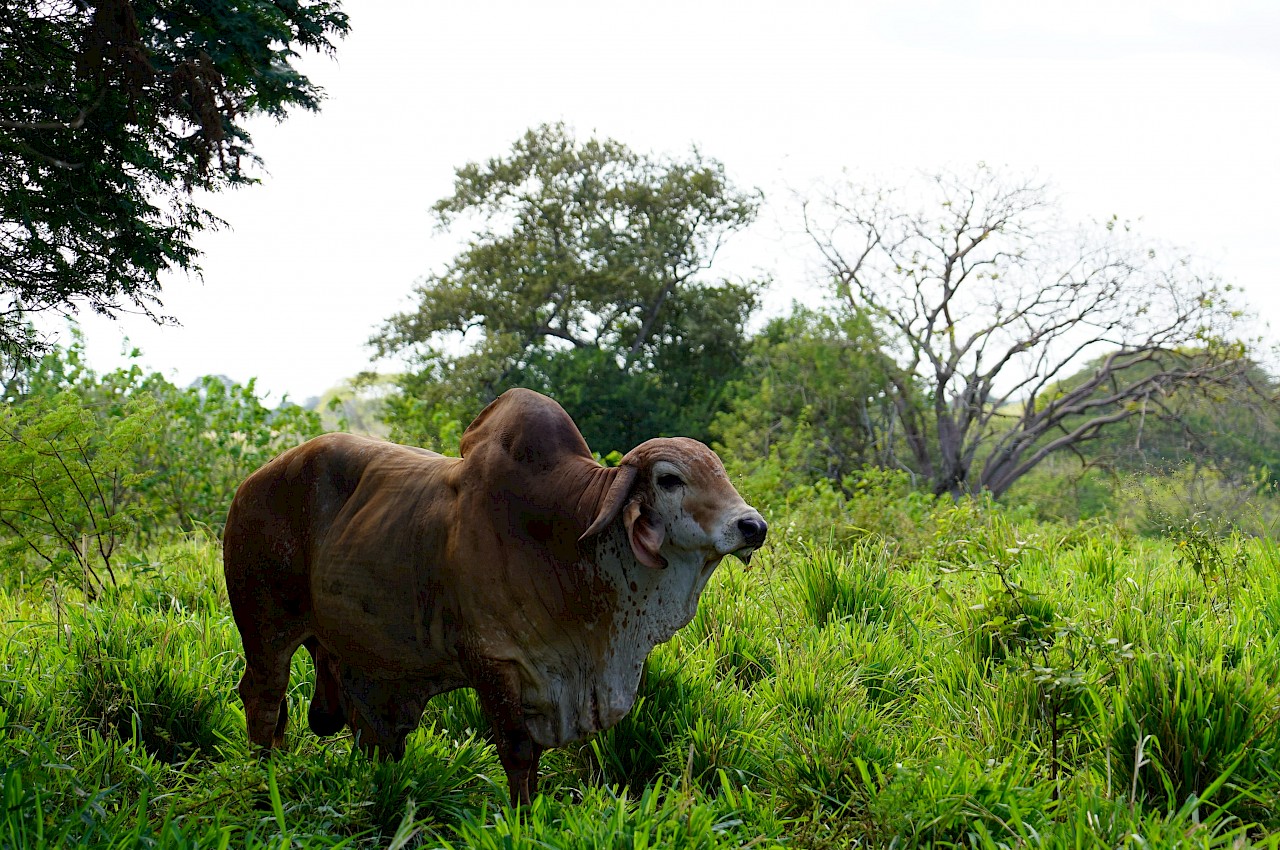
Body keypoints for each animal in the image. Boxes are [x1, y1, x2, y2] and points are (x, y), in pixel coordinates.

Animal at [222, 389, 768, 803]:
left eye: (719, 471)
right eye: (670, 479)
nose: (753, 526)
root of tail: (251, 482)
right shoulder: (492, 660)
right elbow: (518, 751)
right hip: (265, 626)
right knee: (264, 698)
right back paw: (262, 781)